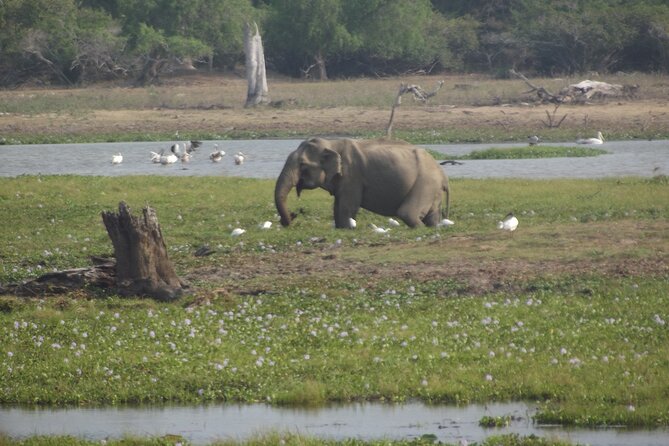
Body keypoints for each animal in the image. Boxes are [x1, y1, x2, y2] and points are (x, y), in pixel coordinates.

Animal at [274, 137, 452, 228]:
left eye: (302, 165)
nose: (292, 216)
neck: (331, 143)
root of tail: (443, 175)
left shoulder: (352, 176)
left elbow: (347, 206)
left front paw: (345, 229)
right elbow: (337, 206)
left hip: (425, 183)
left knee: (407, 213)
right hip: (432, 190)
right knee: (431, 216)